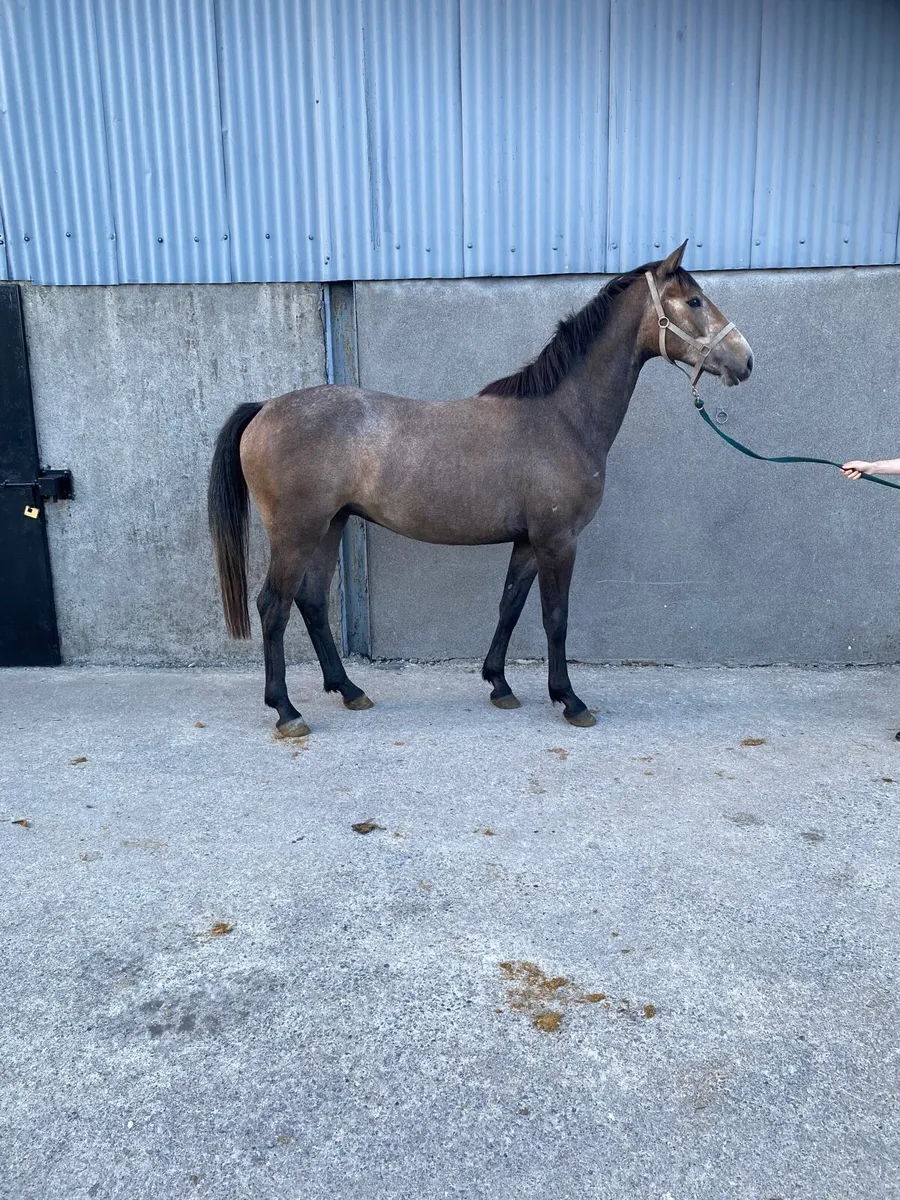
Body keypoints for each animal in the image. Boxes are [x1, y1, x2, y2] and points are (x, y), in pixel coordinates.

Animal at [208, 242, 753, 737]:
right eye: (695, 301)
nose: (746, 361)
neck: (562, 419)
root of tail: (264, 408)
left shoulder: (529, 541)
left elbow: (510, 607)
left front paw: (499, 685)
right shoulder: (558, 540)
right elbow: (556, 617)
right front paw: (570, 700)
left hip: (329, 526)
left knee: (313, 603)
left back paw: (349, 690)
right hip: (297, 532)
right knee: (273, 606)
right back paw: (287, 711)